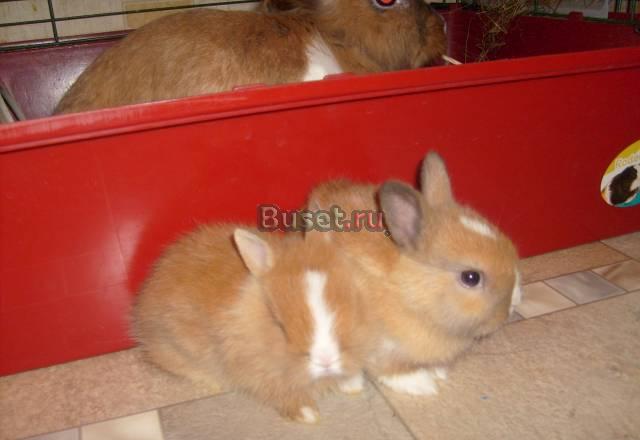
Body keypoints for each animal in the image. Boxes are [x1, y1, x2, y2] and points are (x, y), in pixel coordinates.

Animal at [131, 224, 373, 423]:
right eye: (279, 325)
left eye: (353, 303)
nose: (326, 360)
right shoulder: (259, 371)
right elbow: (282, 392)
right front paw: (307, 414)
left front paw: (353, 385)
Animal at [305, 152, 522, 396]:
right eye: (471, 277)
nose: (514, 304)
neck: (409, 297)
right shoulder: (382, 348)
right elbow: (391, 371)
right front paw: (422, 383)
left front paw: (438, 372)